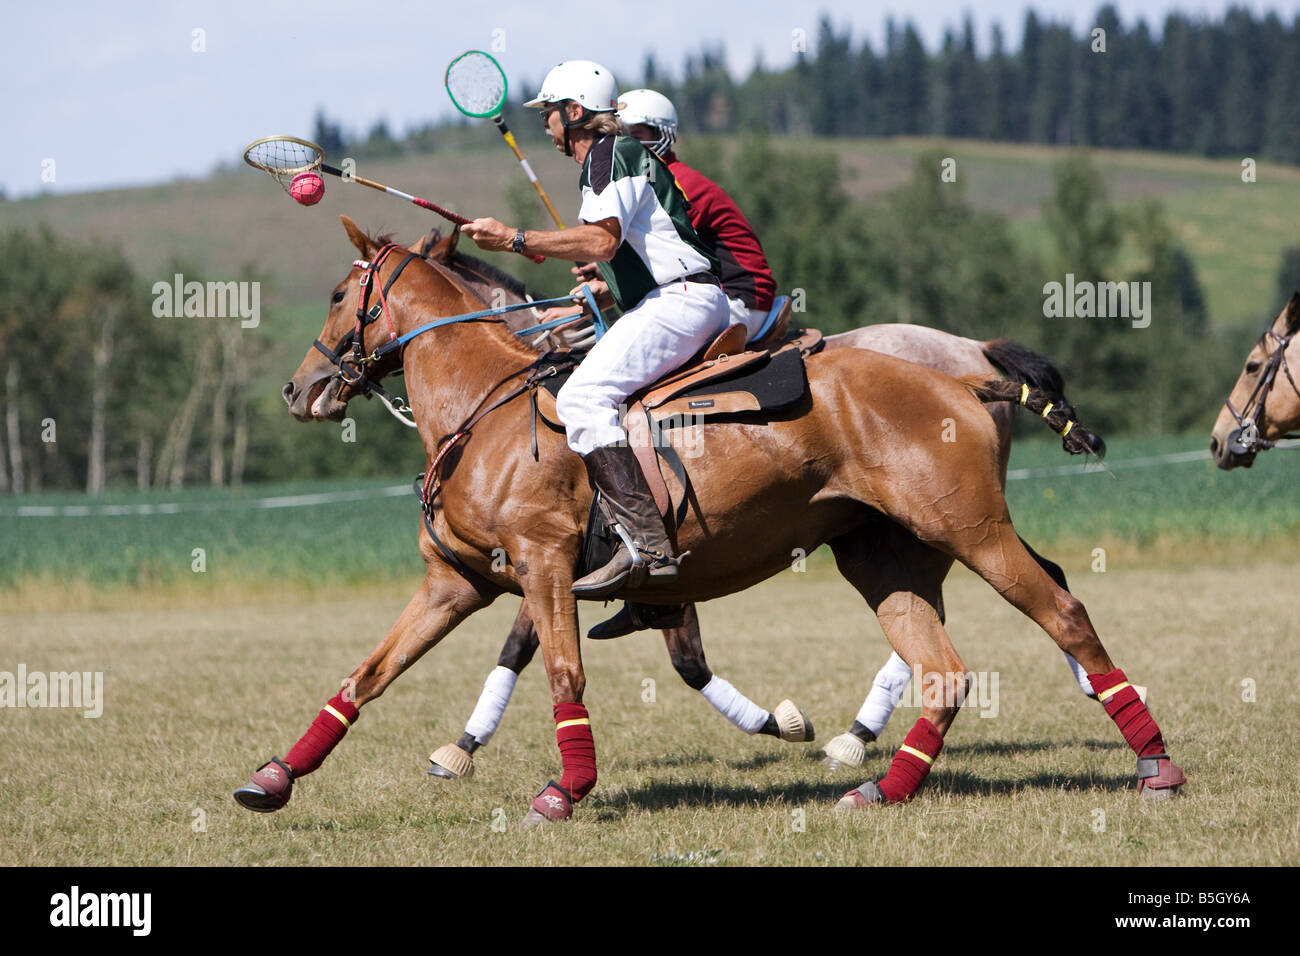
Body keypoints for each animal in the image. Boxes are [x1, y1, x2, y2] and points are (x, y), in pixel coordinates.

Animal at [233, 218, 1190, 822]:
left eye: (336, 293)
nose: (297, 388)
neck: (484, 404)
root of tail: (964, 370)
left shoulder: (546, 565)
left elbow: (564, 673)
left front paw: (561, 792)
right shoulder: (458, 580)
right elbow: (366, 675)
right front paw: (272, 780)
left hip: (970, 530)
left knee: (1062, 608)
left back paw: (1154, 762)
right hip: (885, 554)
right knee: (947, 668)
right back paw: (880, 786)